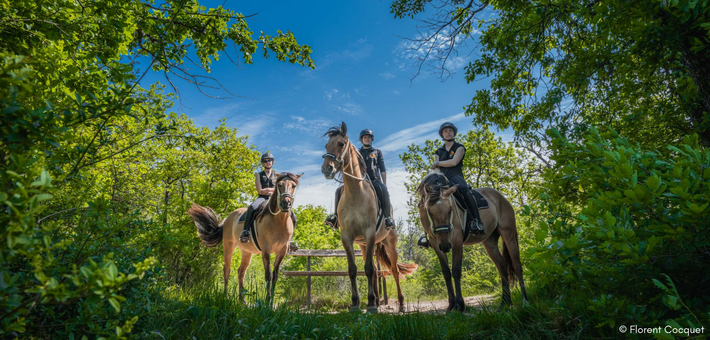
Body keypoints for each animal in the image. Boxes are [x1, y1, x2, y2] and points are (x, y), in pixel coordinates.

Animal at [188, 173, 302, 302]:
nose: (285, 204)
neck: (279, 222)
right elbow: (268, 275)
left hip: (246, 251)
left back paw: (242, 300)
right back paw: (226, 296)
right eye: (280, 185)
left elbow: (275, 275)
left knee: (241, 271)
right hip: (228, 246)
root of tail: (227, 218)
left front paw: (271, 302)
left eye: (293, 186)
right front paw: (267, 302)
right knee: (226, 270)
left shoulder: (282, 251)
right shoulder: (266, 250)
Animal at [322, 122, 418, 314]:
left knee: (394, 270)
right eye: (326, 145)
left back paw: (400, 304)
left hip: (389, 244)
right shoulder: (348, 237)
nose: (326, 169)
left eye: (340, 144)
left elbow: (367, 269)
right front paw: (356, 304)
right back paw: (375, 302)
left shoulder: (369, 233)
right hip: (365, 245)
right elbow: (353, 269)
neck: (355, 194)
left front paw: (372, 305)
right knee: (374, 268)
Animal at [418, 173, 528, 310]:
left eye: (450, 209)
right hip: (489, 241)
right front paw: (451, 305)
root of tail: (501, 197)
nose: (445, 245)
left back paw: (525, 301)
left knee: (517, 265)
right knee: (502, 265)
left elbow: (456, 271)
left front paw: (460, 305)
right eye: (429, 211)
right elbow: (446, 273)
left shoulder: (456, 242)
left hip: (509, 234)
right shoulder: (436, 244)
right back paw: (504, 303)